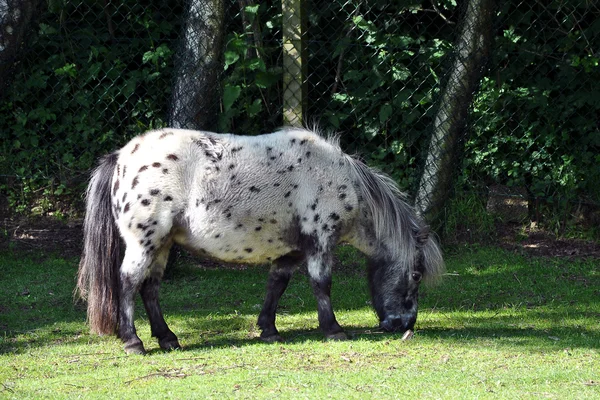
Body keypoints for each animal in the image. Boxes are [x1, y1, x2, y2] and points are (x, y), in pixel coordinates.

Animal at [76, 127, 446, 354]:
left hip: (163, 244)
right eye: (415, 275)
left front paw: (268, 329)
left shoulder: (293, 251)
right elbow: (322, 285)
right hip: (146, 242)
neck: (339, 179)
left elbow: (276, 285)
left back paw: (167, 338)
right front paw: (333, 329)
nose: (405, 325)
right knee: (128, 282)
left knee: (150, 288)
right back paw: (133, 342)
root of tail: (121, 157)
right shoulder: (320, 242)